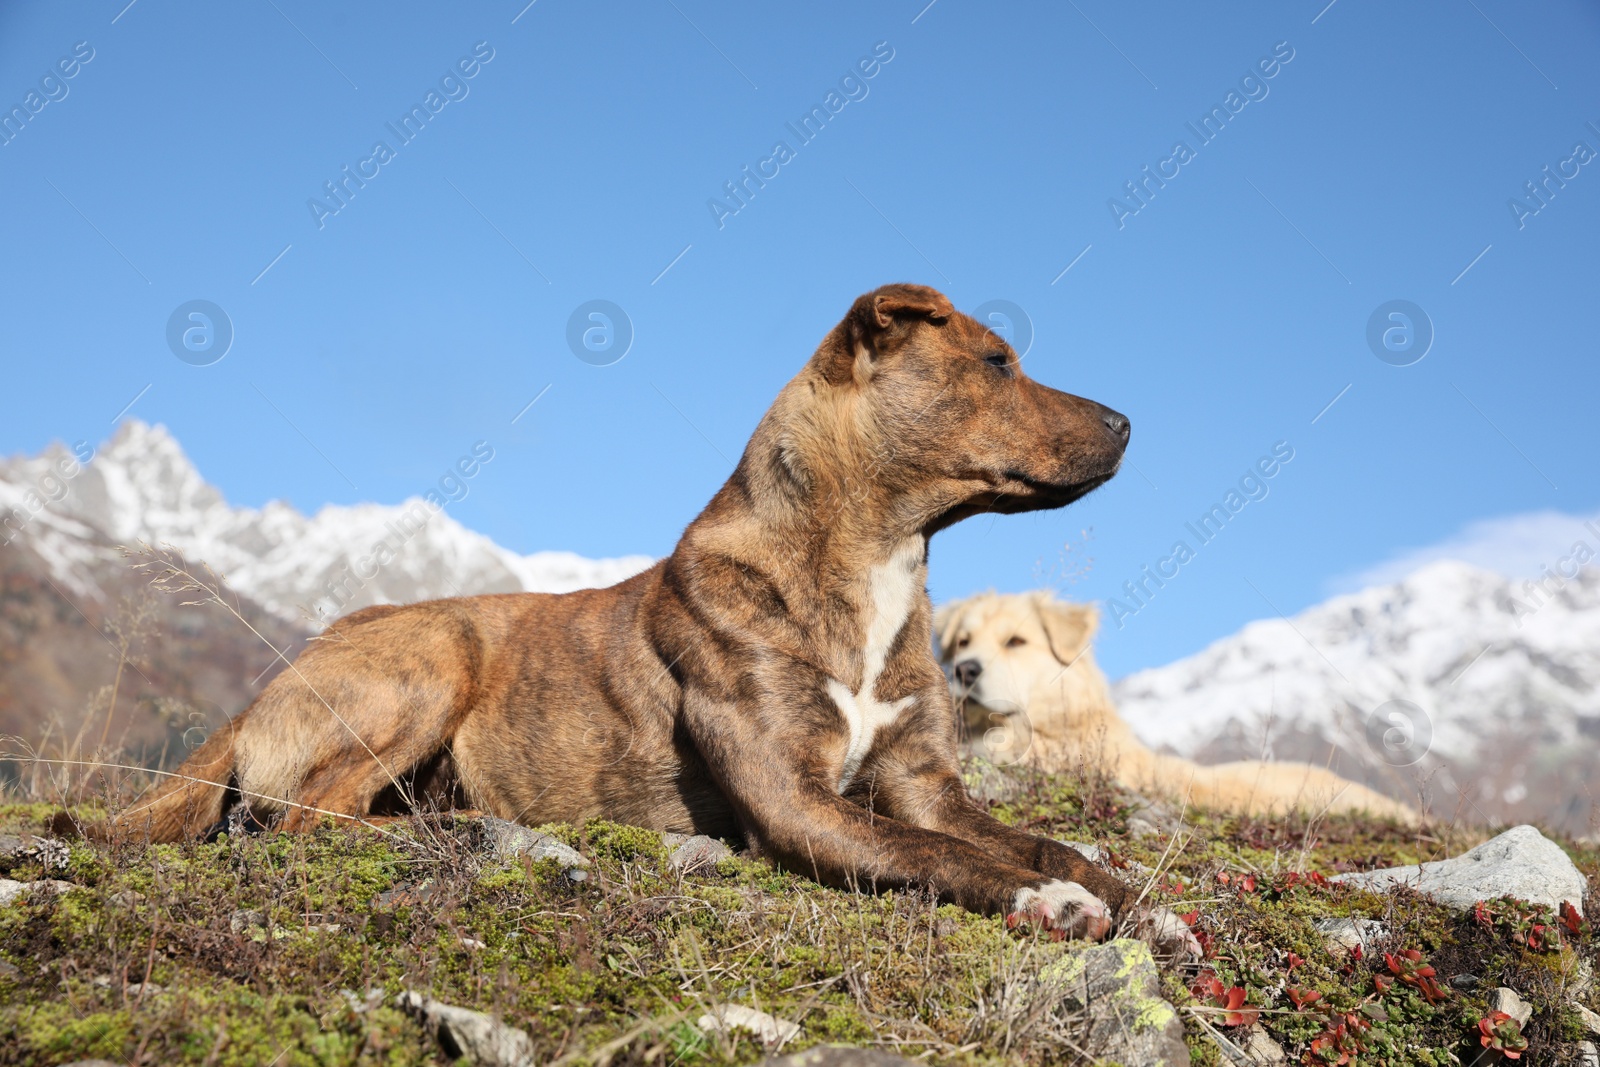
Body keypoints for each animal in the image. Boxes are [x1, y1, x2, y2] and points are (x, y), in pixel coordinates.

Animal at [100, 279, 1196, 947]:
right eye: (999, 361)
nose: (1128, 422)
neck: (870, 563)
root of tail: (265, 687)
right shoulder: (795, 799)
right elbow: (942, 855)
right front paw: (1052, 902)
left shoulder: (924, 782)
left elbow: (1040, 838)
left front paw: (1143, 906)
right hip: (434, 654)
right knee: (291, 821)